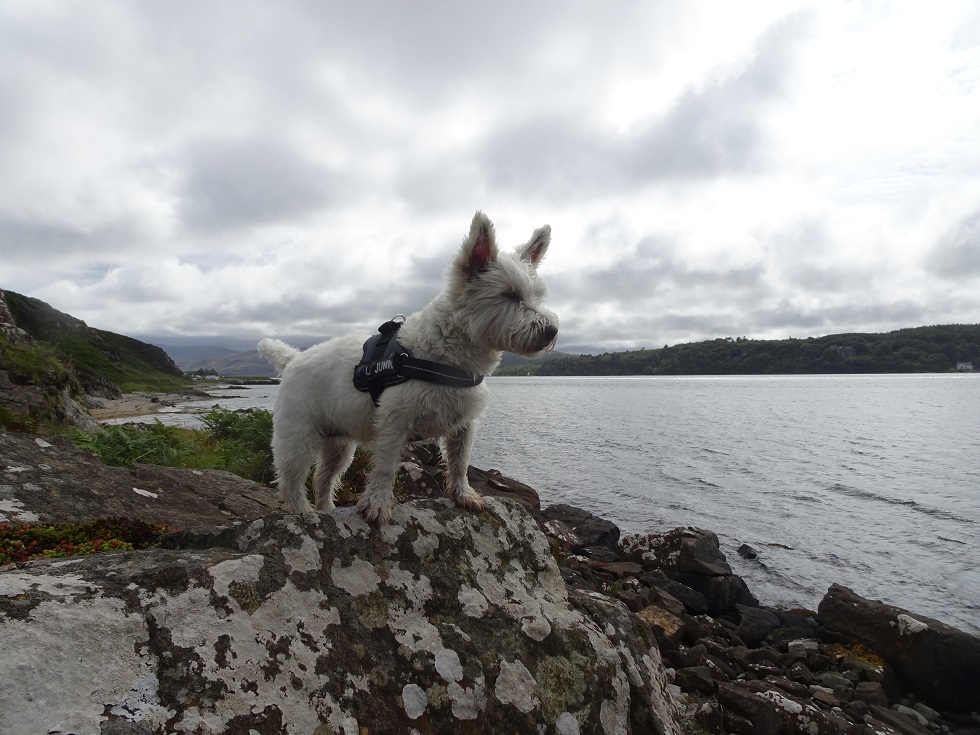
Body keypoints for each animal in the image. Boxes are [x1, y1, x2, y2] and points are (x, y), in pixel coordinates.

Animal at [256, 211, 560, 524]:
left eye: (537, 296)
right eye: (510, 294)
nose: (551, 331)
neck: (449, 355)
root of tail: (292, 359)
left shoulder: (464, 424)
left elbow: (460, 462)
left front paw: (464, 495)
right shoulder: (394, 421)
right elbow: (385, 467)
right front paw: (377, 505)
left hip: (339, 444)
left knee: (323, 477)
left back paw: (327, 509)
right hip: (297, 438)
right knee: (291, 480)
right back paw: (302, 512)